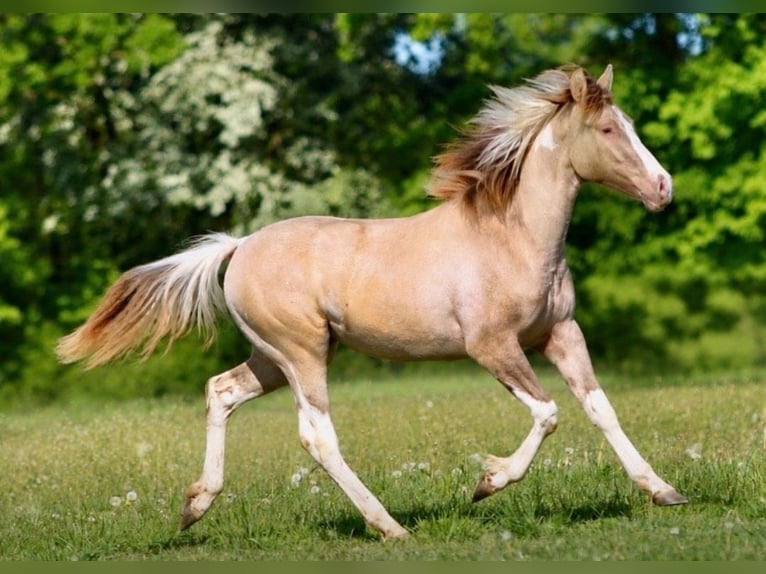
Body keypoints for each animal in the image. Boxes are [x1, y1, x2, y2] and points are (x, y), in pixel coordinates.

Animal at [57, 65, 687, 540]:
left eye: (627, 124)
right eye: (607, 129)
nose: (664, 188)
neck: (514, 237)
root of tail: (239, 247)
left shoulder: (560, 333)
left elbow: (599, 407)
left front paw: (664, 491)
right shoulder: (491, 346)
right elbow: (548, 412)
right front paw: (486, 483)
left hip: (273, 359)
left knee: (221, 391)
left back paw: (195, 506)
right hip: (302, 353)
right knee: (317, 436)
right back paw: (389, 527)